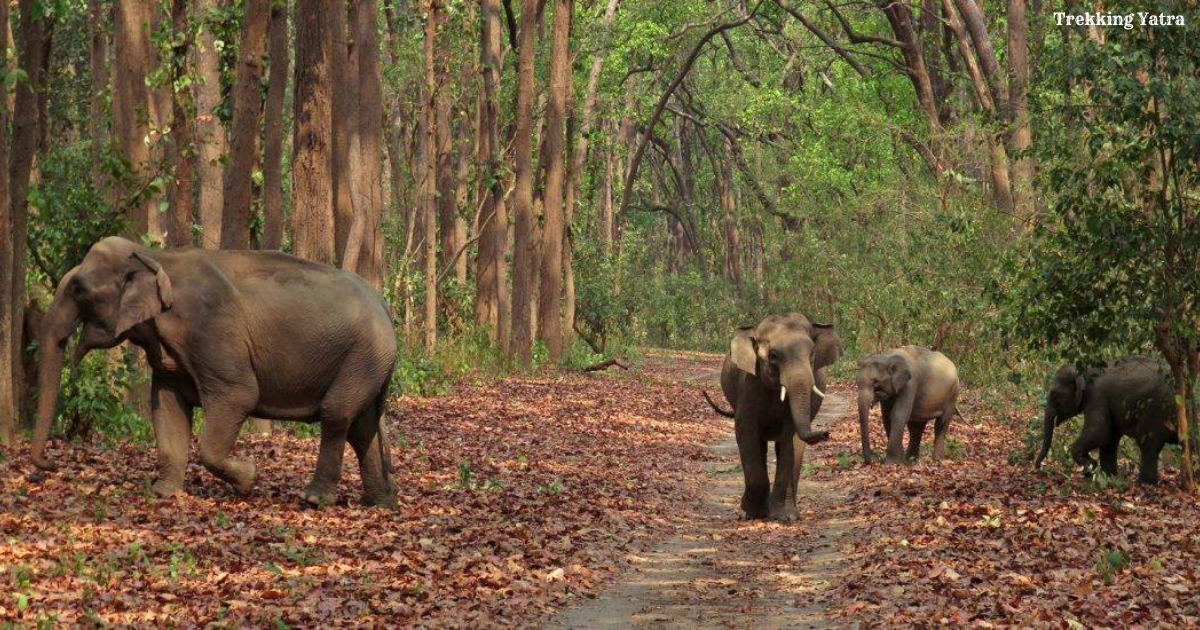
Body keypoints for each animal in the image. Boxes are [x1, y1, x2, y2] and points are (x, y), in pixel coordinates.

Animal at [29, 235, 398, 506]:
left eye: (78, 288)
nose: (49, 465)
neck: (156, 257)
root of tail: (383, 304)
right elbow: (166, 406)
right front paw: (163, 492)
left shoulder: (212, 333)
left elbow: (239, 395)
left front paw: (249, 480)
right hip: (367, 362)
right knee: (361, 425)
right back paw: (378, 502)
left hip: (363, 356)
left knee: (336, 415)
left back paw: (314, 499)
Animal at [1032, 355, 1180, 484]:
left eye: (1054, 395)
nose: (1038, 468)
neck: (1086, 368)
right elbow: (1109, 439)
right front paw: (1108, 476)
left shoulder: (1097, 398)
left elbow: (1099, 433)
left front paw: (1091, 467)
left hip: (1157, 409)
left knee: (1148, 444)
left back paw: (1144, 483)